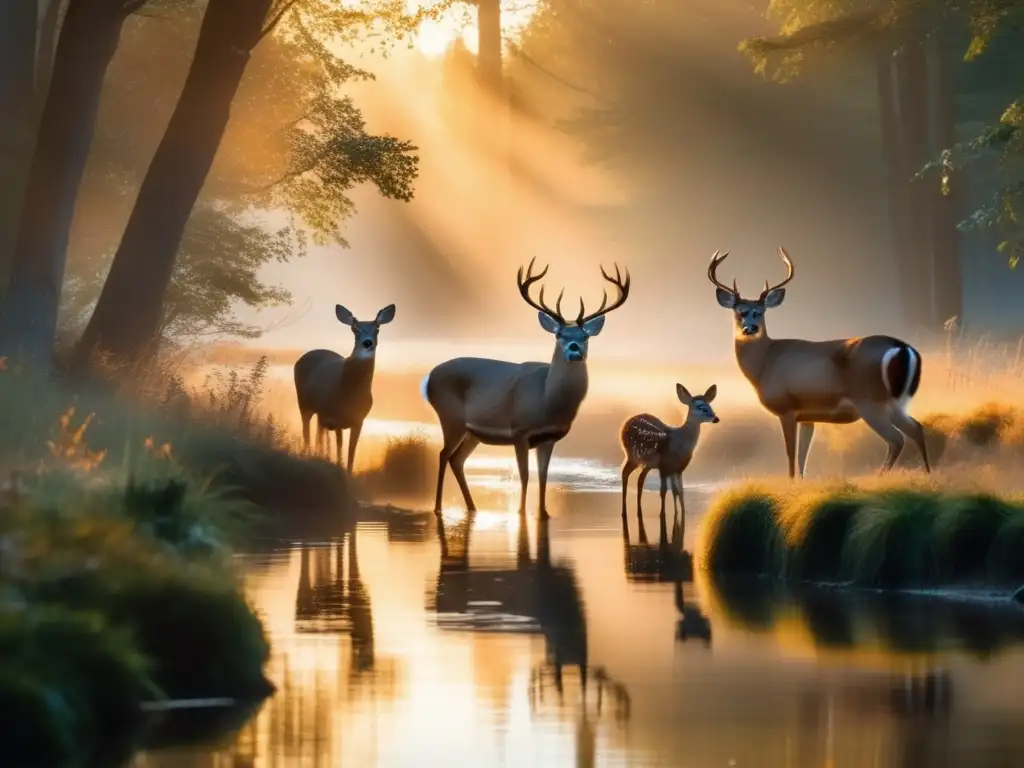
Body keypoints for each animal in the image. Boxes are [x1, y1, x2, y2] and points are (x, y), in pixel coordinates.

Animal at [296, 303, 395, 473]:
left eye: (377, 328)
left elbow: (352, 449)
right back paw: (309, 454)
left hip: (319, 413)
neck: (350, 394)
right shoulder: (336, 417)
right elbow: (340, 445)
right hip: (304, 402)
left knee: (318, 432)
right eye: (355, 328)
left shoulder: (359, 419)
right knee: (307, 429)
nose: (367, 342)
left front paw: (348, 471)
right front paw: (338, 466)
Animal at [417, 259, 626, 518]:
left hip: (472, 432)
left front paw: (544, 513)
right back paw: (437, 507)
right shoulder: (519, 431)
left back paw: (473, 507)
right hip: (451, 418)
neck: (547, 400)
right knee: (443, 455)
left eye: (585, 336)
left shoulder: (549, 438)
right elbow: (525, 475)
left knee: (457, 459)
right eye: (559, 334)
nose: (574, 349)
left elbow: (544, 476)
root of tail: (429, 377)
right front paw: (521, 512)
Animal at [614, 385, 720, 540]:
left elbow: (679, 491)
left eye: (710, 405)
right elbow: (663, 491)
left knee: (640, 480)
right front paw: (662, 514)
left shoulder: (678, 468)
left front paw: (681, 513)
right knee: (625, 474)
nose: (716, 418)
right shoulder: (664, 466)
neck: (680, 443)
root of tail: (626, 422)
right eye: (701, 407)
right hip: (632, 456)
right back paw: (624, 512)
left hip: (647, 464)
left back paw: (639, 512)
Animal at [708, 249, 933, 479]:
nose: (750, 328)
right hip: (895, 402)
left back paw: (881, 476)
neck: (763, 365)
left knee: (897, 439)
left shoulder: (787, 407)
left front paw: (790, 482)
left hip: (870, 401)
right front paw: (801, 482)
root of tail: (903, 347)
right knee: (917, 428)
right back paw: (927, 473)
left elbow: (791, 454)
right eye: (739, 312)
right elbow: (802, 458)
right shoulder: (807, 415)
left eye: (760, 312)